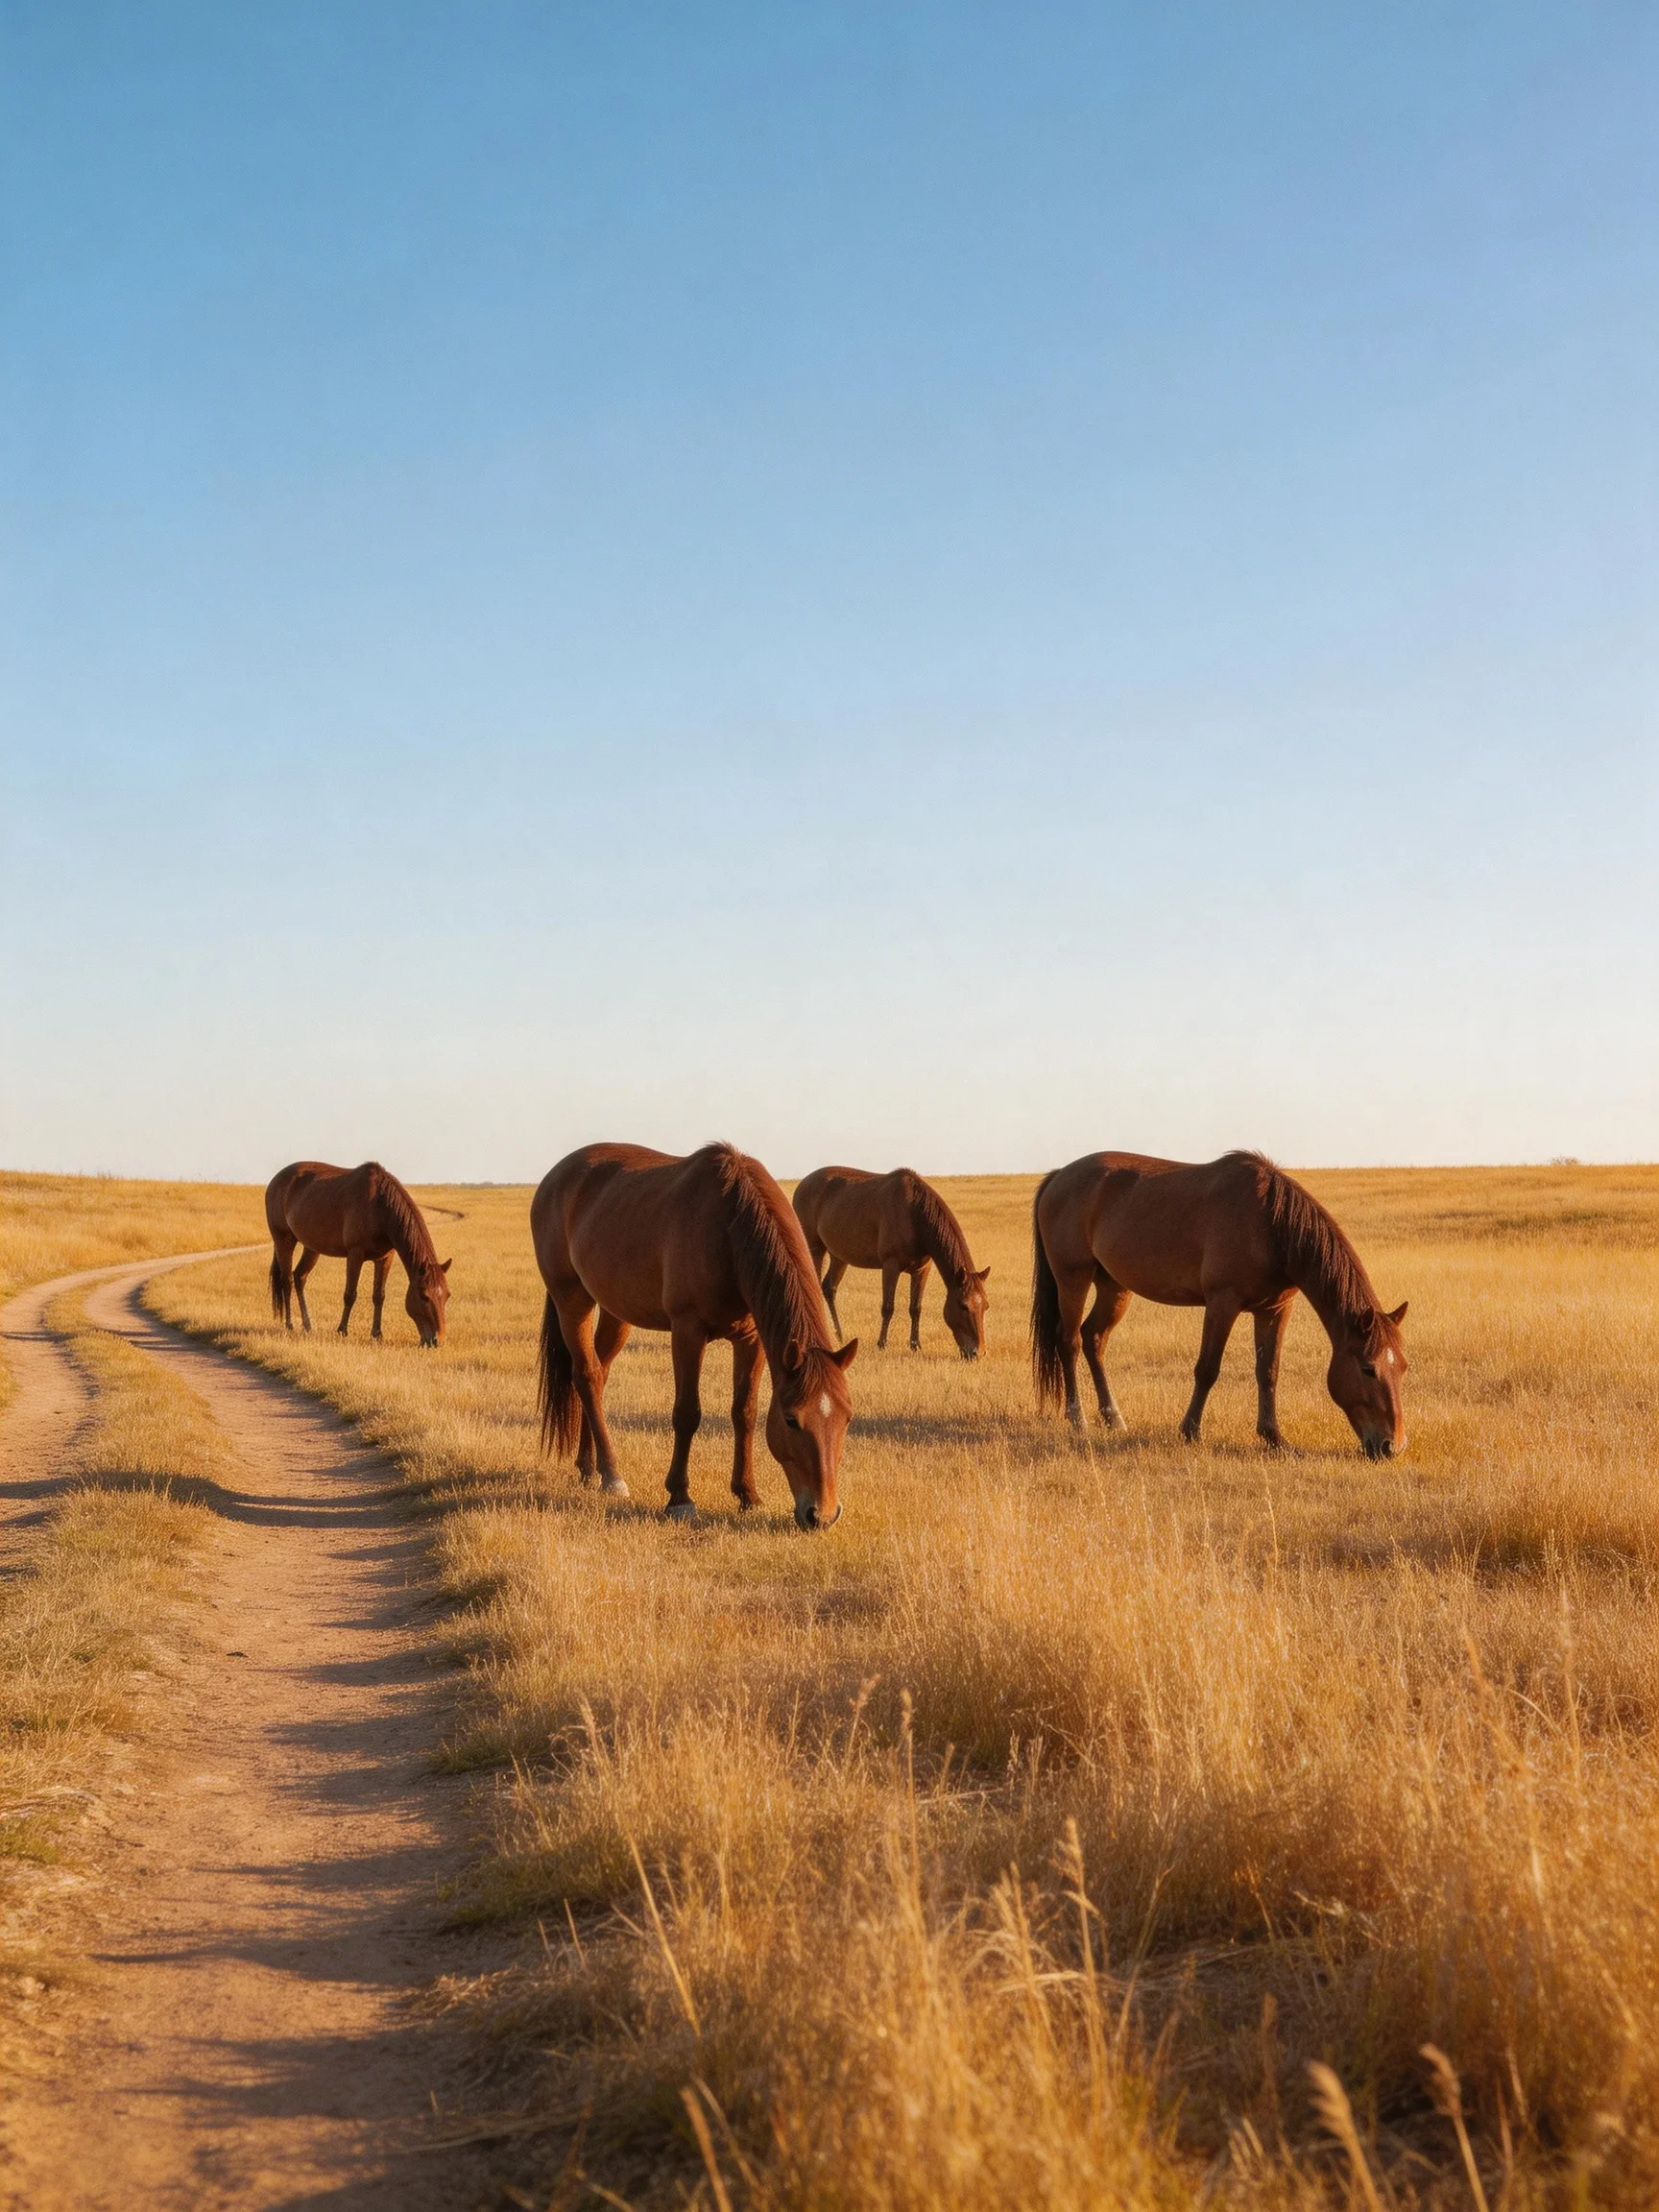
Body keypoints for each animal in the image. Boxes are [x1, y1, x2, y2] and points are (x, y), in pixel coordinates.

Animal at [265, 1161, 451, 1347]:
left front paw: (377, 1334)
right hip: (283, 1240)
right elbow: (350, 1294)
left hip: (311, 1247)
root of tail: (275, 1181)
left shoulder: (385, 1258)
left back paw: (307, 1325)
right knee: (287, 1280)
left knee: (300, 1277)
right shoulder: (355, 1254)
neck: (379, 1207)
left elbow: (379, 1296)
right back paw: (289, 1325)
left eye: (447, 1295)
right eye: (424, 1296)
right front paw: (342, 1330)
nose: (438, 1340)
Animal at [530, 1142, 858, 1527]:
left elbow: (744, 1412)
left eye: (847, 1417)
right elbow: (688, 1413)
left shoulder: (751, 1339)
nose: (822, 1514)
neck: (729, 1229)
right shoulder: (688, 1331)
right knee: (586, 1375)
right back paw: (612, 1474)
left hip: (615, 1311)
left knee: (598, 1374)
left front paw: (748, 1494)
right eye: (792, 1420)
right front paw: (679, 1497)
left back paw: (587, 1466)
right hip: (572, 1300)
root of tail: (555, 1177)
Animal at [792, 1166, 990, 1358]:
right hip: (814, 1249)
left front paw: (915, 1345)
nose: (977, 1352)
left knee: (829, 1288)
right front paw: (882, 1344)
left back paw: (839, 1335)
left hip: (838, 1256)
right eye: (963, 1306)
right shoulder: (890, 1266)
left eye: (986, 1306)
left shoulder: (922, 1269)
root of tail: (801, 1185)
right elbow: (888, 1307)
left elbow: (915, 1308)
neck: (914, 1214)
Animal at [1030, 1150, 1407, 1457]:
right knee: (1069, 1341)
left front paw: (1274, 1438)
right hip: (1073, 1278)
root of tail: (1059, 1175)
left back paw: (1113, 1418)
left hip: (1114, 1287)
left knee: (1094, 1339)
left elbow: (1268, 1371)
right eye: (1368, 1369)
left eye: (1403, 1367)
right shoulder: (1222, 1303)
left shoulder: (1274, 1310)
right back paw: (1078, 1418)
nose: (1392, 1446)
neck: (1271, 1225)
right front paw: (1190, 1431)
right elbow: (1207, 1369)